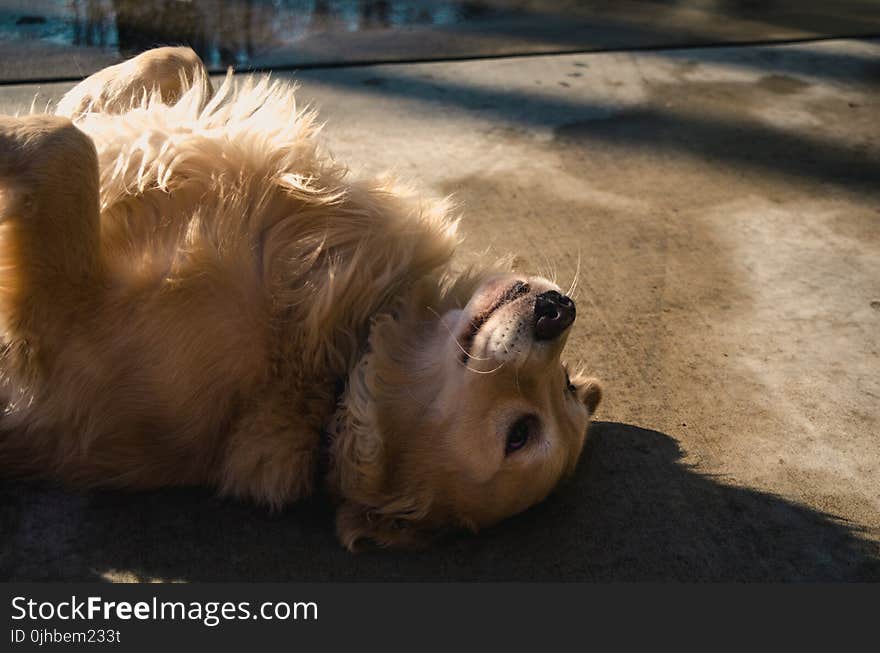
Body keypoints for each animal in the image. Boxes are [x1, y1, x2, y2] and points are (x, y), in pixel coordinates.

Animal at [0, 47, 600, 544]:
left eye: (520, 435)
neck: (333, 368)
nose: (559, 311)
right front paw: (97, 95)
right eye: (568, 385)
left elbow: (66, 145)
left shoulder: (66, 322)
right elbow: (176, 59)